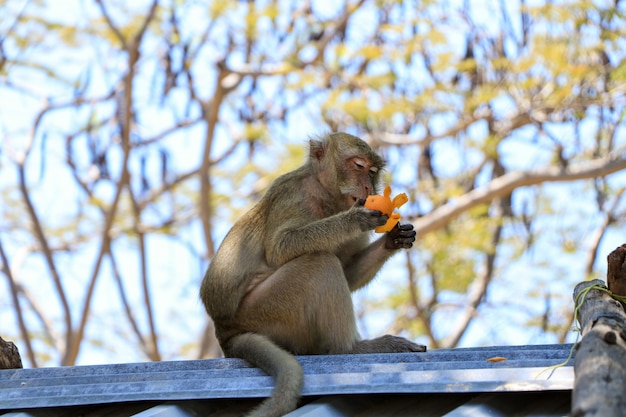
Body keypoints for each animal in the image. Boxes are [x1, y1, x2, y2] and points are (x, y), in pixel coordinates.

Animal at [200, 132, 424, 416]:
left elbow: (348, 272)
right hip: (264, 312)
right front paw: (354, 220)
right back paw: (349, 350)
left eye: (373, 172)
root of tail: (224, 332)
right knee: (319, 263)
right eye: (359, 166)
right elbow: (280, 248)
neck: (324, 194)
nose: (368, 188)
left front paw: (393, 239)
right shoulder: (294, 195)